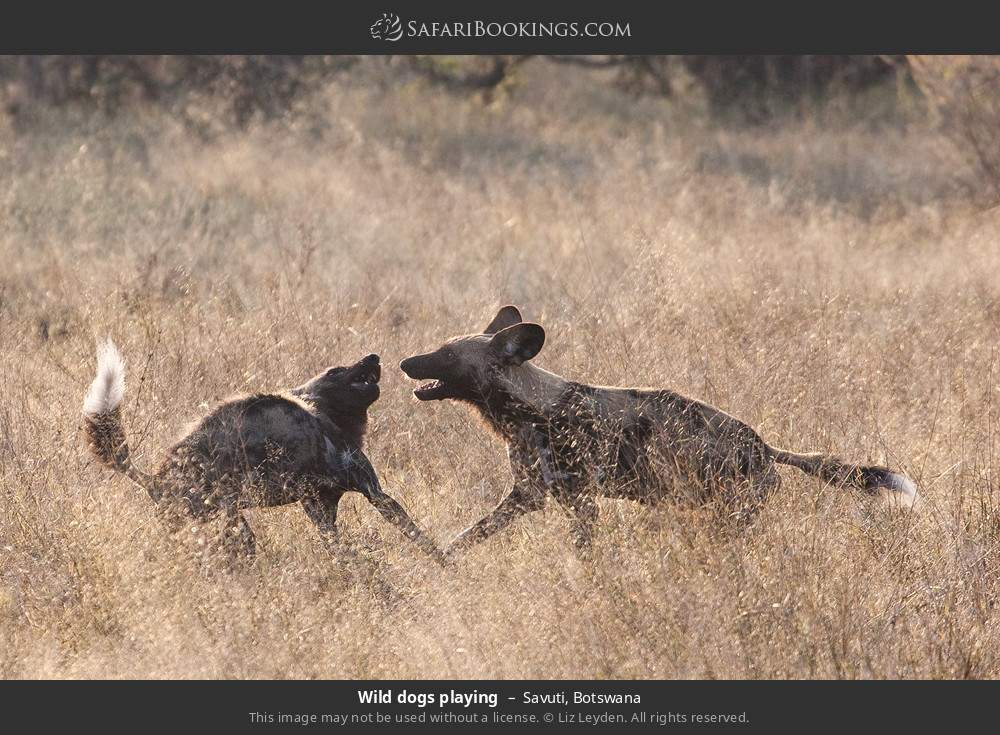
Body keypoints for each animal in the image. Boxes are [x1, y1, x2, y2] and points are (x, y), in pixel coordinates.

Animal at [84, 340, 444, 564]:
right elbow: (419, 540)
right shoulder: (362, 495)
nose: (372, 357)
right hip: (229, 525)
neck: (326, 415)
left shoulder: (330, 507)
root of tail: (156, 478)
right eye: (335, 371)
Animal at [400, 306, 920, 556]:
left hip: (724, 512)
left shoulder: (580, 502)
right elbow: (468, 536)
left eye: (447, 354)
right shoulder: (528, 494)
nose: (405, 362)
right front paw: (439, 562)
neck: (529, 407)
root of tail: (765, 446)